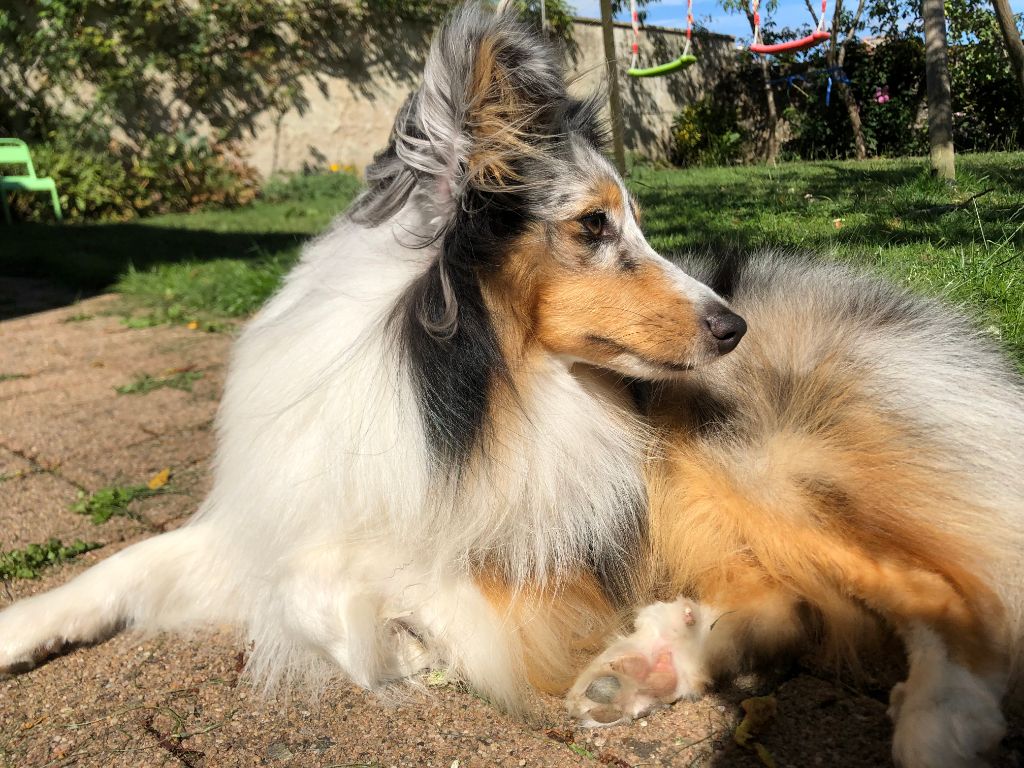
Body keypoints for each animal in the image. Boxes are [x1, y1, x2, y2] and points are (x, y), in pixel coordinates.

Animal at [0, 3, 1019, 765]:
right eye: (594, 226)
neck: (470, 384)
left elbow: (339, 586)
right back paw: (655, 659)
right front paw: (18, 627)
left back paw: (941, 718)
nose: (733, 328)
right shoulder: (287, 500)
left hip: (736, 464)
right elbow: (135, 564)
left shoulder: (542, 537)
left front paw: (411, 637)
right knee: (791, 605)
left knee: (944, 590)